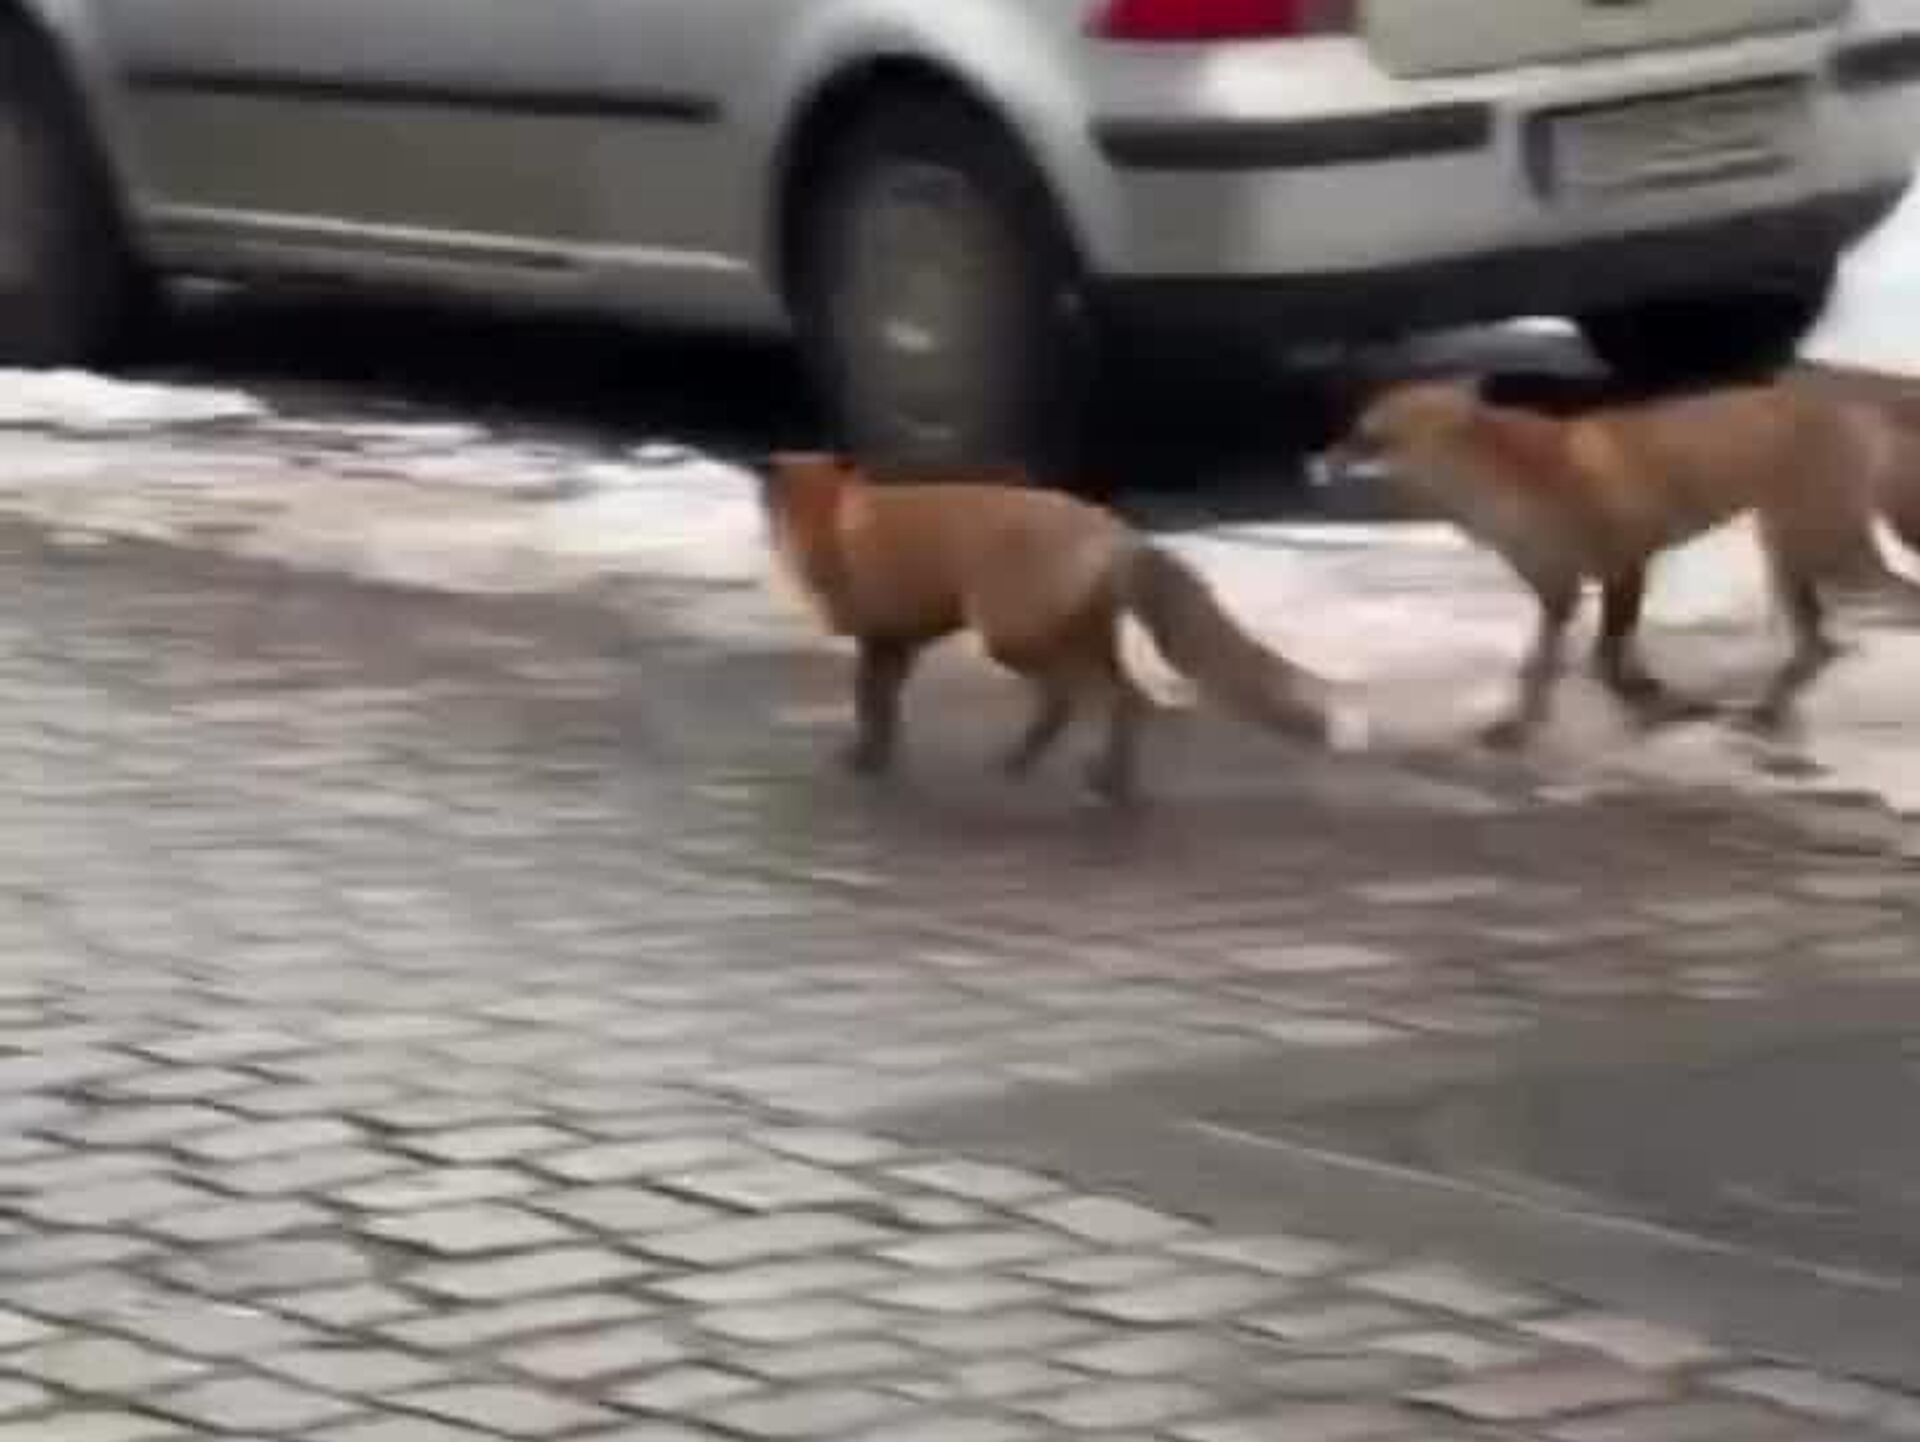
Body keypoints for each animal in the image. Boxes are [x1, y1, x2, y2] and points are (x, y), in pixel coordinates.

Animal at [753, 452, 1368, 803]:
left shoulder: (880, 637)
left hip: (1010, 638)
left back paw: (1052, 770)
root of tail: (1116, 531)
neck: (829, 518)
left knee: (1076, 699)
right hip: (1079, 637)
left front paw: (863, 760)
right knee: (1130, 700)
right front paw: (877, 757)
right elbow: (882, 707)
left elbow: (871, 704)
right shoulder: (898, 640)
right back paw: (1101, 780)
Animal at [1316, 377, 1920, 747]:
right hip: (1795, 558)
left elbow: (1599, 663)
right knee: (1819, 646)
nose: (1321, 459)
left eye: (1366, 432)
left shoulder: (1623, 567)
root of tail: (1850, 402)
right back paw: (1769, 713)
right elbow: (1546, 669)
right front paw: (1523, 727)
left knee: (1857, 623)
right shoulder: (1560, 589)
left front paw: (1656, 709)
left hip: (1821, 552)